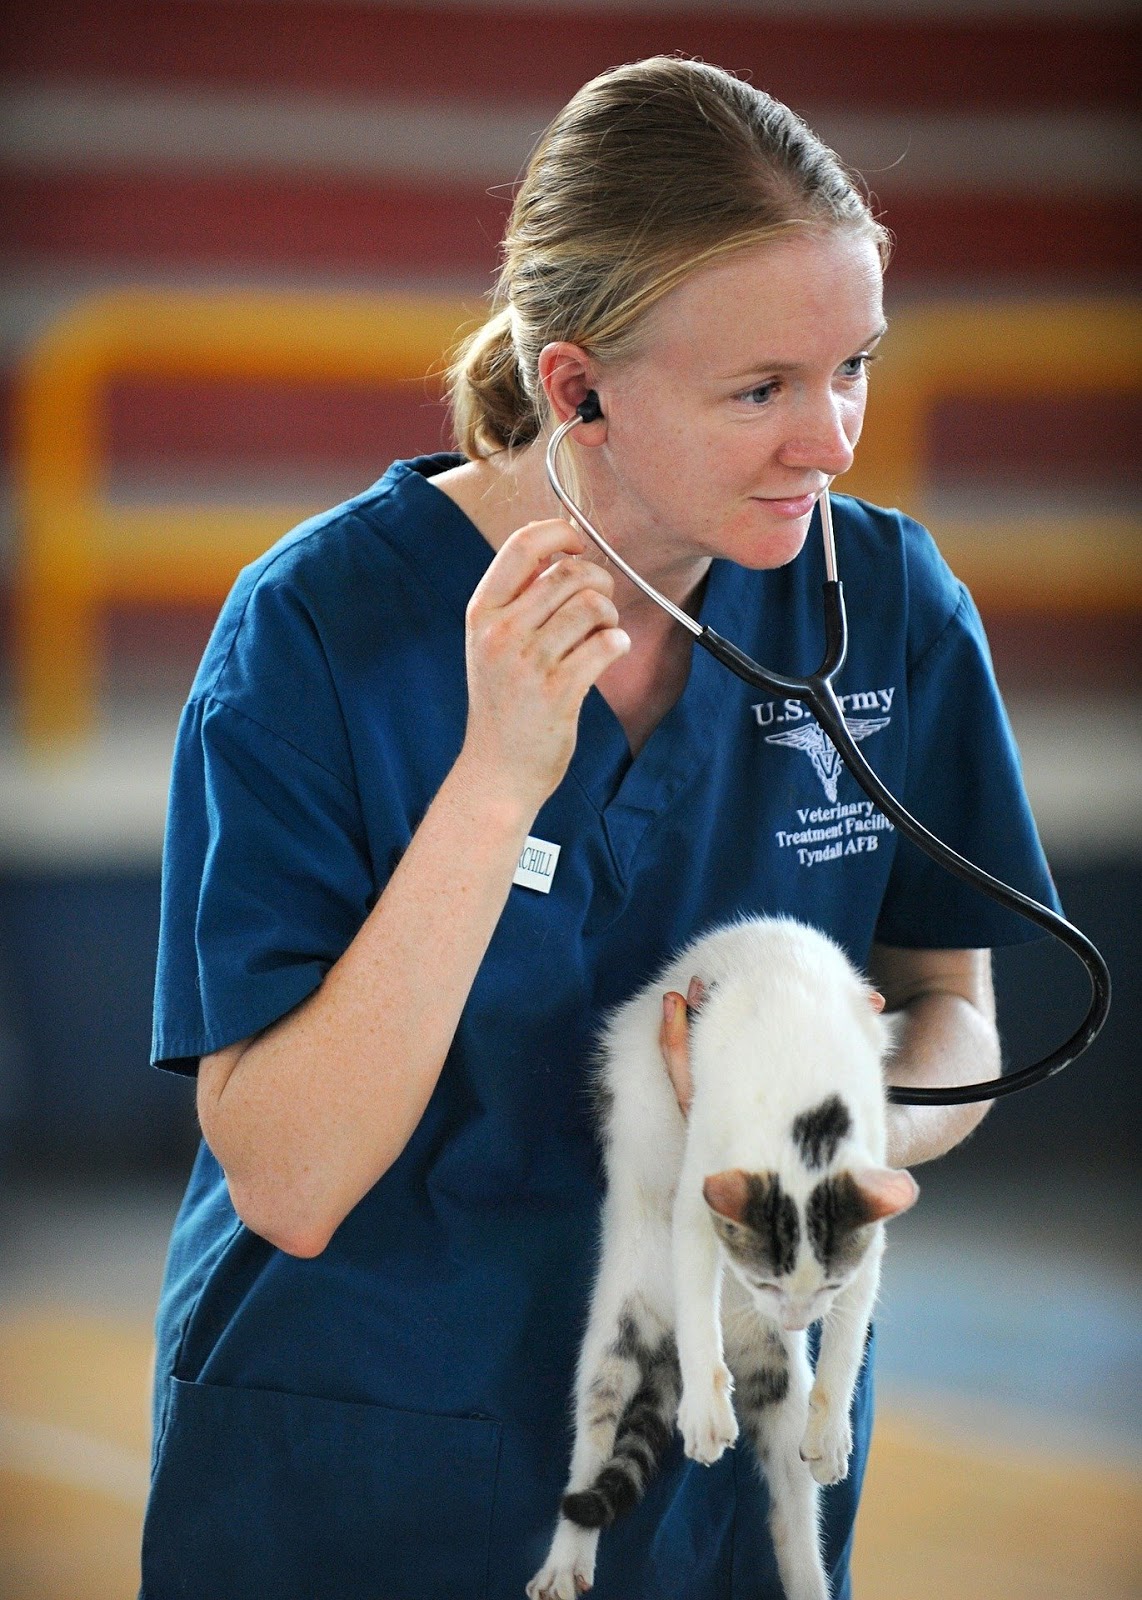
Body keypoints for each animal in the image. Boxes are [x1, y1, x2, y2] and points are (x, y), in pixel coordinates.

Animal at [527, 915, 914, 1600]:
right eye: (763, 1281)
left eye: (825, 1291)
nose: (794, 1320)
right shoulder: (703, 1168)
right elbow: (693, 1241)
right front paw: (708, 1414)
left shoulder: (868, 1214)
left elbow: (848, 1331)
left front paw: (832, 1429)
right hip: (617, 1334)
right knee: (594, 1433)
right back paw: (565, 1560)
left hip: (779, 1380)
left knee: (792, 1511)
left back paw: (809, 1573)